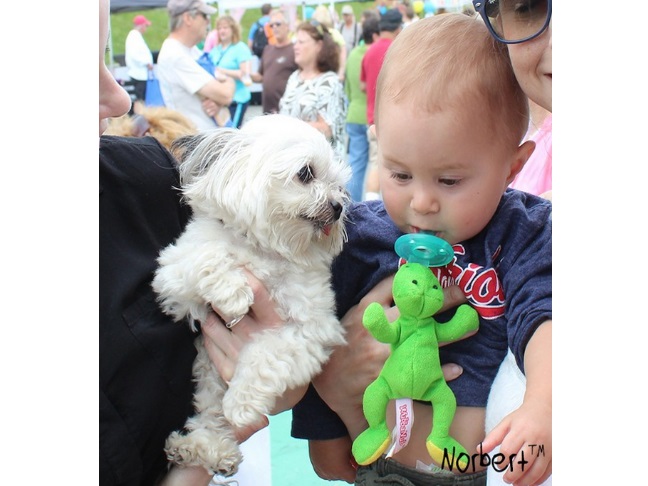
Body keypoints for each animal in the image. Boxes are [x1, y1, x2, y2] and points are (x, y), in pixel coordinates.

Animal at [152, 114, 352, 474]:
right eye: (306, 173)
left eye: (340, 185)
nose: (338, 206)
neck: (264, 251)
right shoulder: (172, 278)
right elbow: (207, 257)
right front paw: (233, 292)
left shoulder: (311, 330)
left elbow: (264, 356)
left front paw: (242, 403)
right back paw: (198, 447)